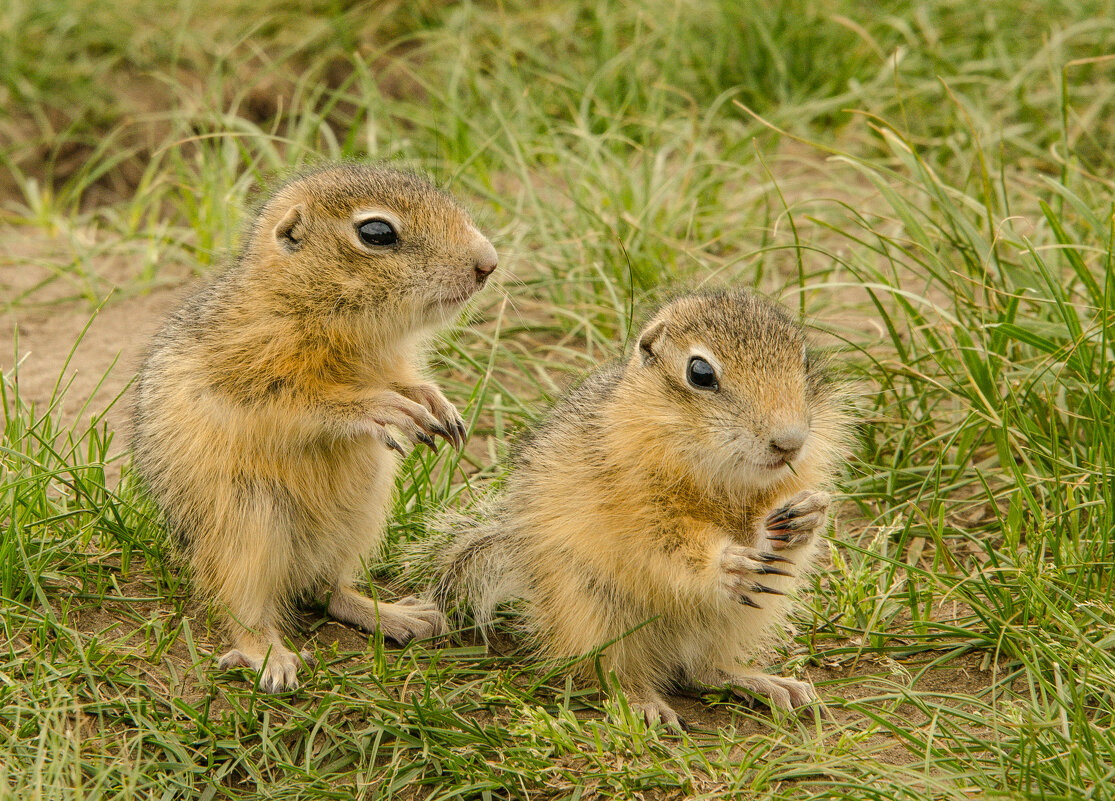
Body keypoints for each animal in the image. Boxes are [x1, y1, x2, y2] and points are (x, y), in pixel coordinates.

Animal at [131, 161, 497, 691]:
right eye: (377, 233)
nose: (488, 264)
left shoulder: (391, 361)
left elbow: (407, 381)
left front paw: (436, 404)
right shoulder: (251, 373)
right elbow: (310, 402)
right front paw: (381, 409)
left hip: (360, 518)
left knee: (327, 592)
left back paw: (399, 616)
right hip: (249, 527)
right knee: (243, 610)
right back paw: (271, 658)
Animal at [419, 292, 851, 731]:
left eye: (804, 361)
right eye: (700, 373)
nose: (790, 443)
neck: (722, 476)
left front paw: (807, 514)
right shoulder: (636, 507)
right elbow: (667, 545)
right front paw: (726, 562)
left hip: (736, 618)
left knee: (700, 670)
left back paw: (765, 683)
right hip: (597, 614)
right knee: (610, 672)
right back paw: (644, 703)